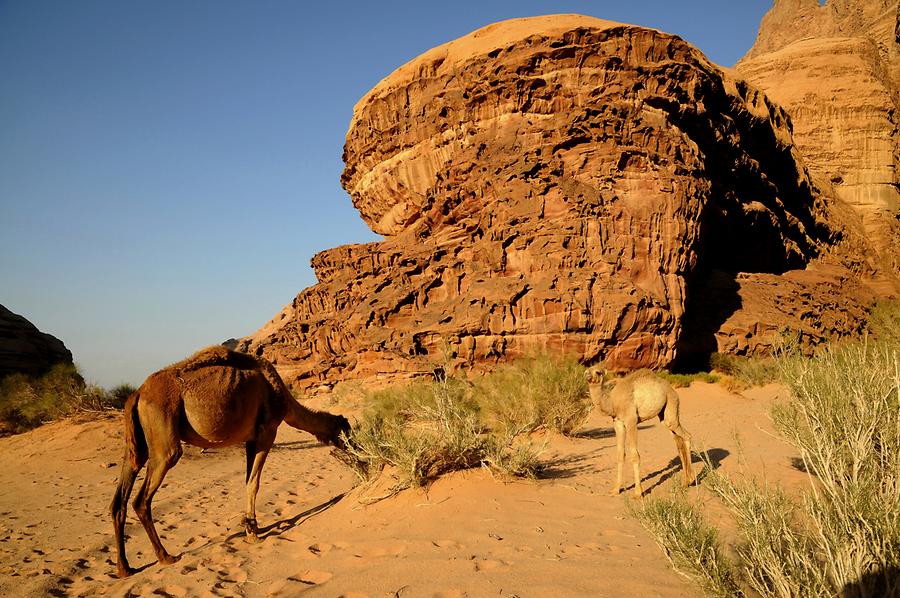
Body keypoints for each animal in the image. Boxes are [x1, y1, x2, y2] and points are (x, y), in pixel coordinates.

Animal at [109, 346, 352, 580]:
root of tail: (137, 394)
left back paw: (125, 568)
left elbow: (247, 480)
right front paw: (253, 533)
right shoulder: (267, 432)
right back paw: (165, 556)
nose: (356, 451)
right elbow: (253, 483)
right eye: (348, 432)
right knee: (143, 497)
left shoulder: (250, 439)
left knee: (120, 498)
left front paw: (250, 527)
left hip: (138, 443)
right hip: (163, 434)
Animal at [584, 368, 696, 500]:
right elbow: (620, 454)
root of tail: (672, 389)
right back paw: (686, 481)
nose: (587, 375)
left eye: (598, 372)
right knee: (678, 441)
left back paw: (691, 480)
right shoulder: (618, 422)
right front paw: (615, 490)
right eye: (588, 370)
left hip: (671, 403)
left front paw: (638, 493)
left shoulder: (631, 420)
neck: (612, 401)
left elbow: (635, 455)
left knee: (686, 436)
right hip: (664, 416)